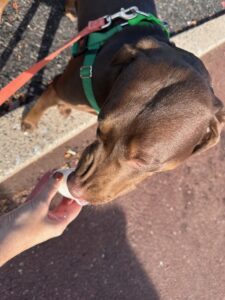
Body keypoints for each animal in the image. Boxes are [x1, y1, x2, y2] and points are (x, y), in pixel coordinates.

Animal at [20, 0, 223, 205]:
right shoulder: (67, 86)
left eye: (144, 162)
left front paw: (62, 108)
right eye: (100, 129)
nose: (74, 187)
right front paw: (30, 121)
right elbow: (49, 92)